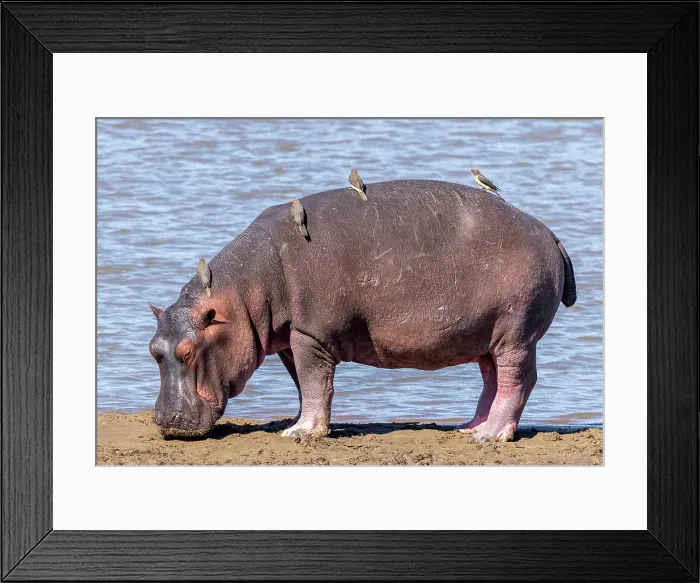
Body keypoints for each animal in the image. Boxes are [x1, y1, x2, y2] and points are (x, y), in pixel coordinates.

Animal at [148, 180, 576, 442]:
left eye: (188, 351)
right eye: (153, 350)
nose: (166, 421)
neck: (240, 295)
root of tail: (551, 234)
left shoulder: (311, 335)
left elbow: (315, 382)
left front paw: (301, 432)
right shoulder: (292, 337)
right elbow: (305, 385)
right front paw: (298, 423)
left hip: (515, 332)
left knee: (517, 379)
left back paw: (490, 436)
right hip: (485, 333)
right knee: (491, 378)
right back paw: (469, 428)